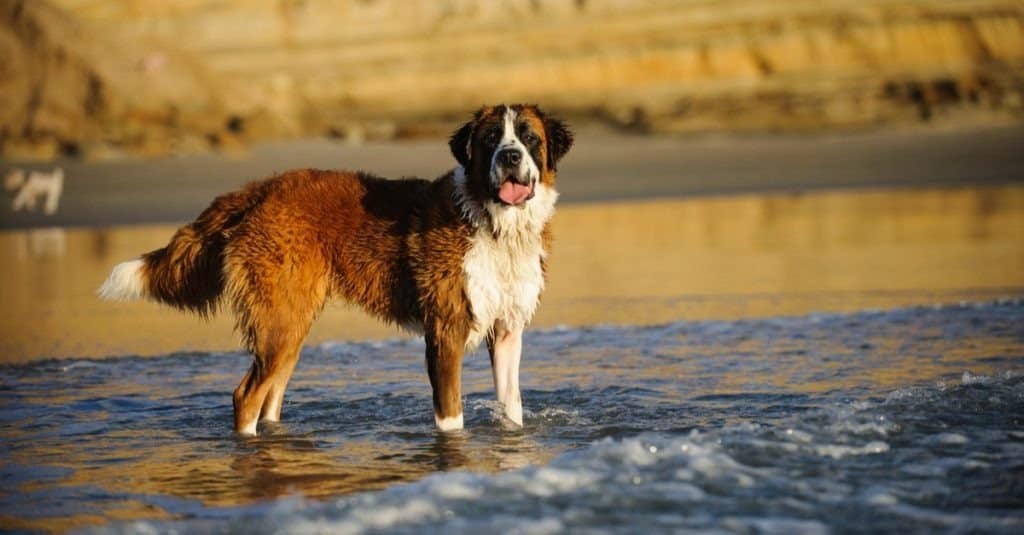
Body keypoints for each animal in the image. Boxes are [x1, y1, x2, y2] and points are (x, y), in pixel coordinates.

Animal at [98, 103, 573, 432]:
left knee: (270, 395)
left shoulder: (508, 331)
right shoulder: (445, 332)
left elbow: (511, 406)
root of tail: (260, 188)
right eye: (492, 138)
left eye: (528, 138)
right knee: (245, 396)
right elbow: (450, 418)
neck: (493, 225)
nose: (510, 156)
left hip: (288, 325)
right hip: (281, 320)